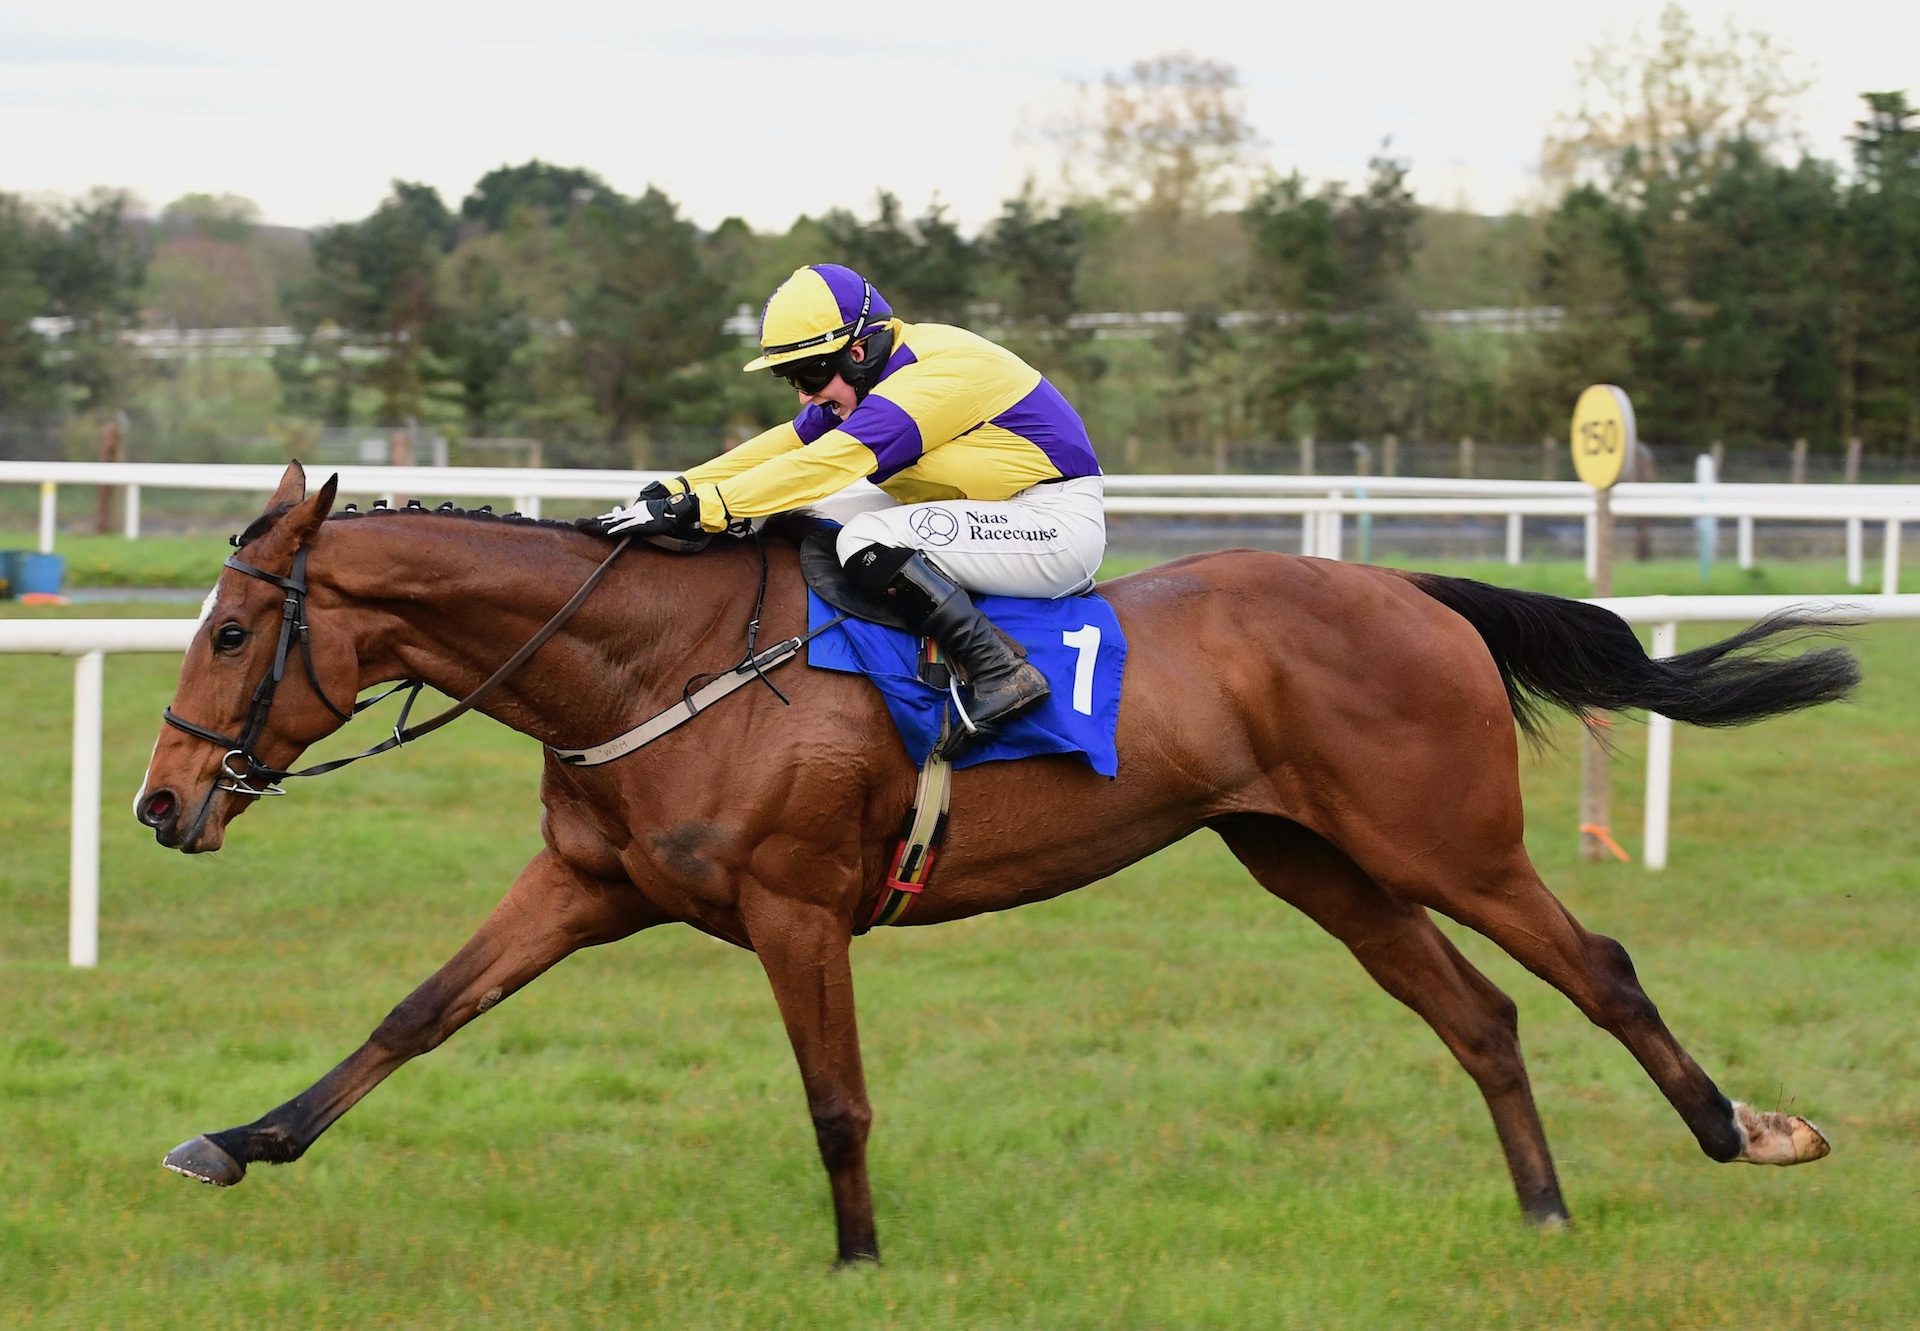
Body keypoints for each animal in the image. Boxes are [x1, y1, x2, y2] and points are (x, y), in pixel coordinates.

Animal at [139, 462, 1858, 1259]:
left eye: (228, 631)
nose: (160, 805)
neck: (655, 662)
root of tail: (1415, 590)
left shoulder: (795, 904)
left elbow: (835, 1098)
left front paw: (856, 1257)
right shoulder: (589, 885)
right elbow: (416, 1013)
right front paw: (235, 1138)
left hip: (1444, 835)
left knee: (1597, 966)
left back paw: (1748, 1131)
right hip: (1311, 858)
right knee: (1480, 1014)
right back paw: (1546, 1209)